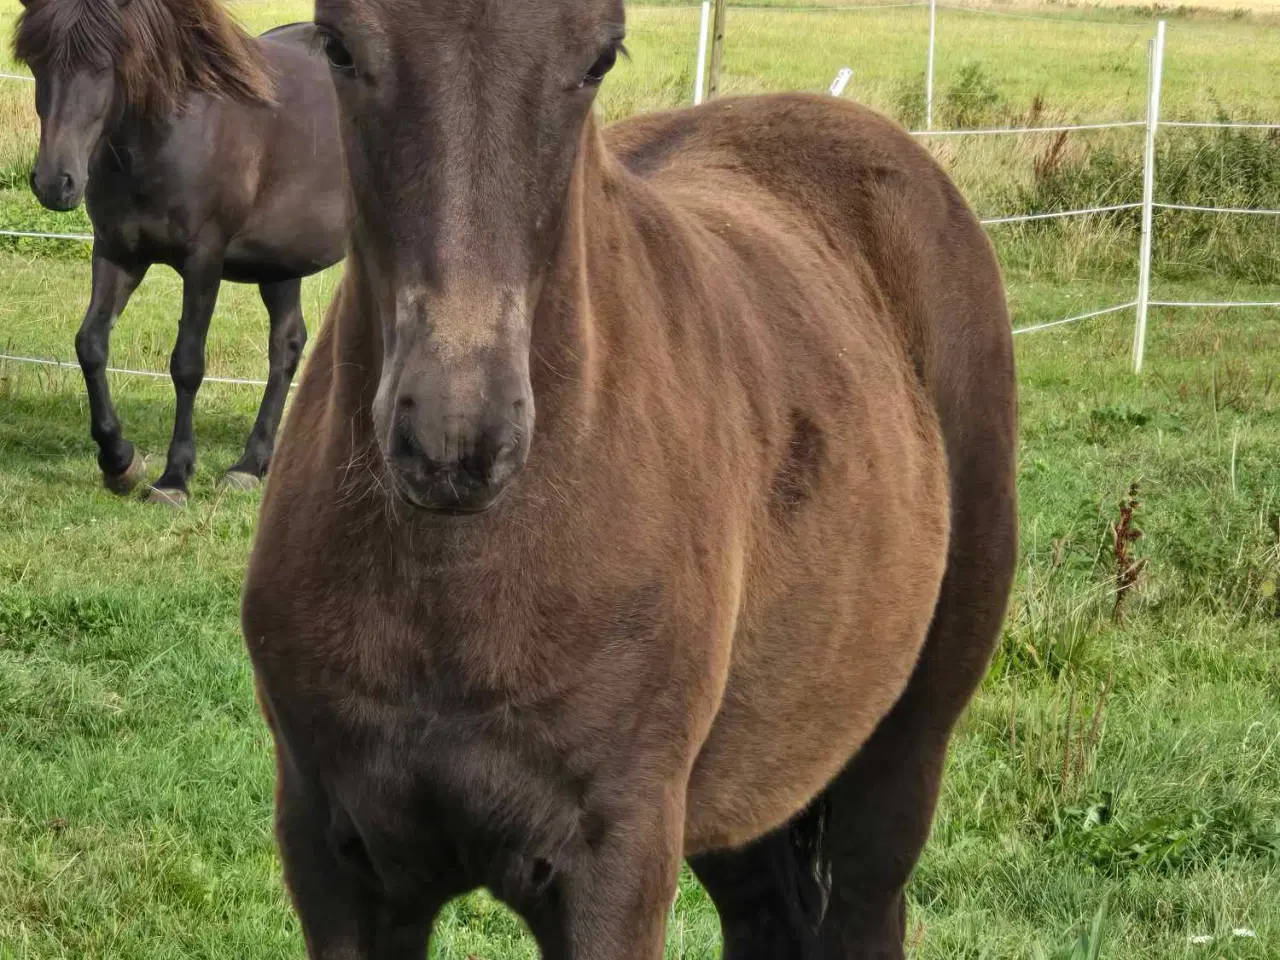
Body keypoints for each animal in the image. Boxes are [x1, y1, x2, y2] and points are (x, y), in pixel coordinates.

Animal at [13, 0, 345, 506]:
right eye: (35, 61)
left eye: (105, 65)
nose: (55, 182)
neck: (172, 134)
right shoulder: (117, 253)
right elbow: (90, 345)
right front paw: (120, 462)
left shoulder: (203, 259)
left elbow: (187, 363)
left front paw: (174, 477)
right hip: (283, 260)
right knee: (287, 345)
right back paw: (250, 465)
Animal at [241, 0, 1018, 957]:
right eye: (340, 45)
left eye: (600, 57)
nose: (456, 436)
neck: (454, 589)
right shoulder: (336, 861)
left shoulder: (616, 864)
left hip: (900, 753)